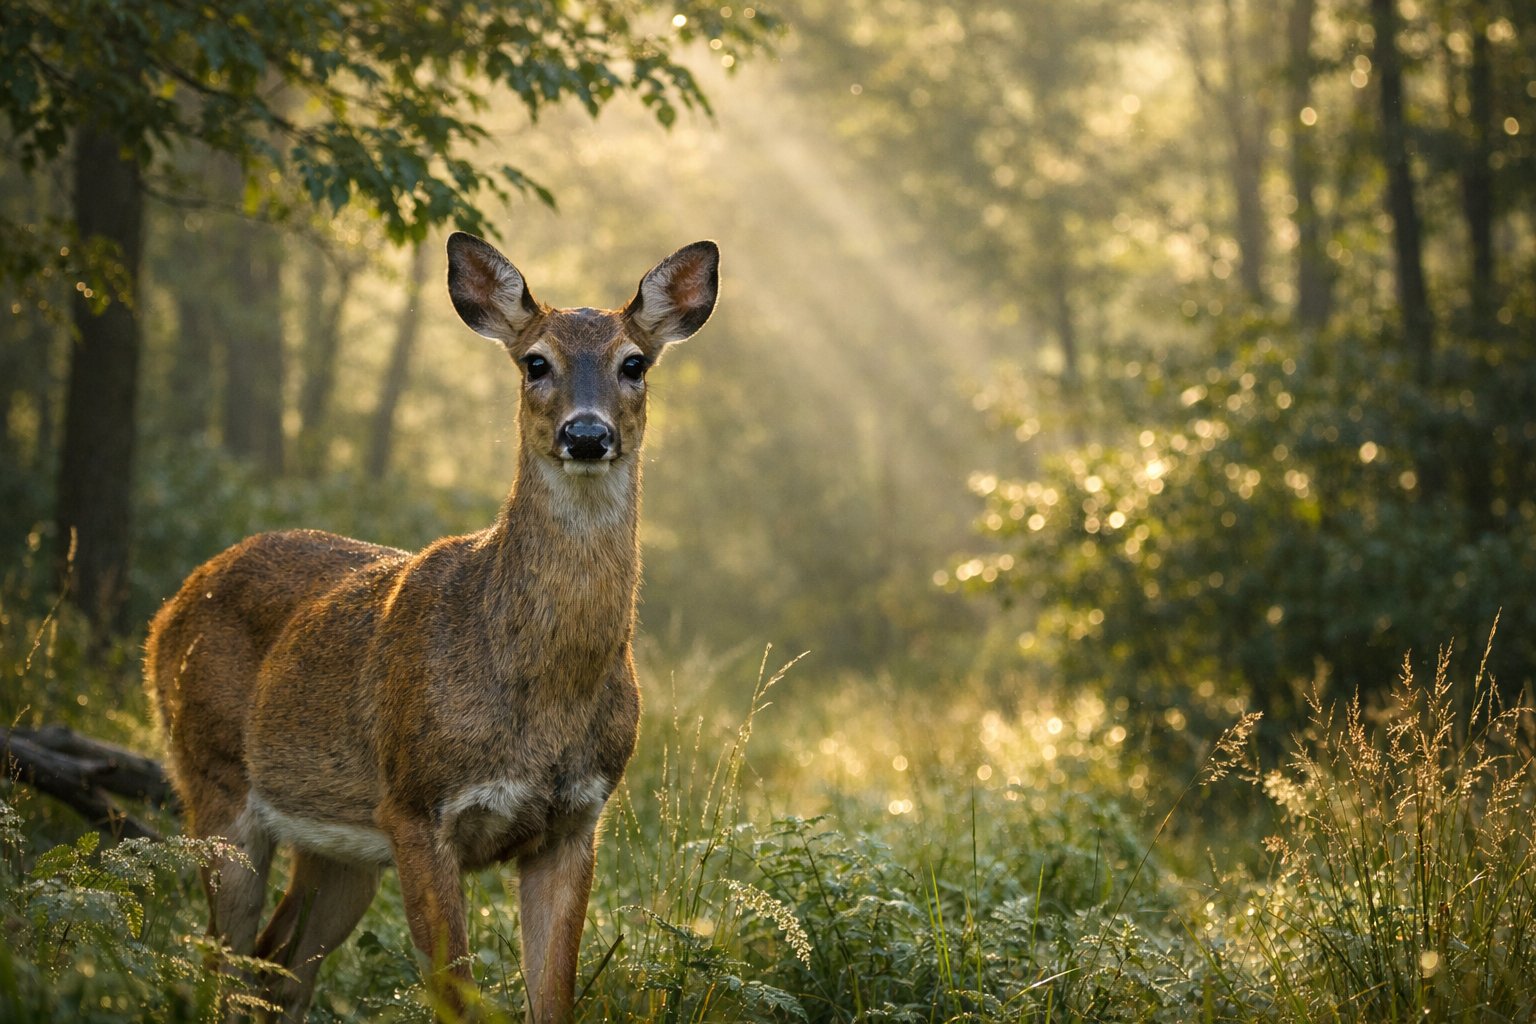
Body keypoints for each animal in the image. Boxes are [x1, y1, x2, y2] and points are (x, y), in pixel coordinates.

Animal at [144, 232, 720, 1022]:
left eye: (634, 362)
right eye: (535, 361)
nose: (586, 433)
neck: (542, 695)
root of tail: (167, 611)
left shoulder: (577, 820)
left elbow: (554, 998)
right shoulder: (418, 806)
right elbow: (458, 993)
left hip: (341, 846)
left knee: (276, 966)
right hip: (214, 777)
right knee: (220, 963)